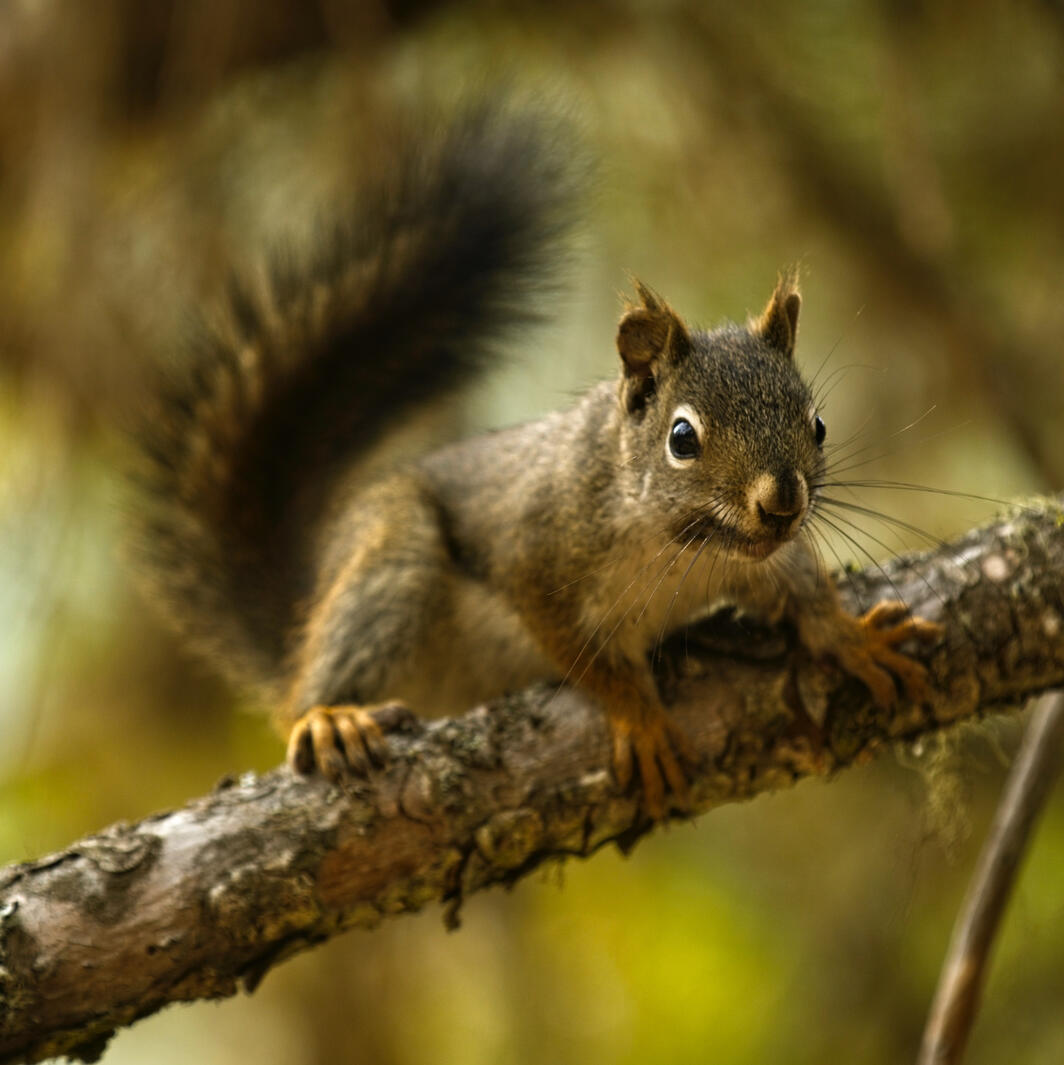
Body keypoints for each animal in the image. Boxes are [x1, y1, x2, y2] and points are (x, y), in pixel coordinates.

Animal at [133, 103, 942, 820]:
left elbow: (803, 590)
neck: (682, 548)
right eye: (682, 438)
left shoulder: (766, 558)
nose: (782, 502)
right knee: (320, 674)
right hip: (393, 555)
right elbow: (585, 655)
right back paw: (329, 714)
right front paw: (637, 713)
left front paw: (850, 636)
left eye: (819, 425)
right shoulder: (537, 551)